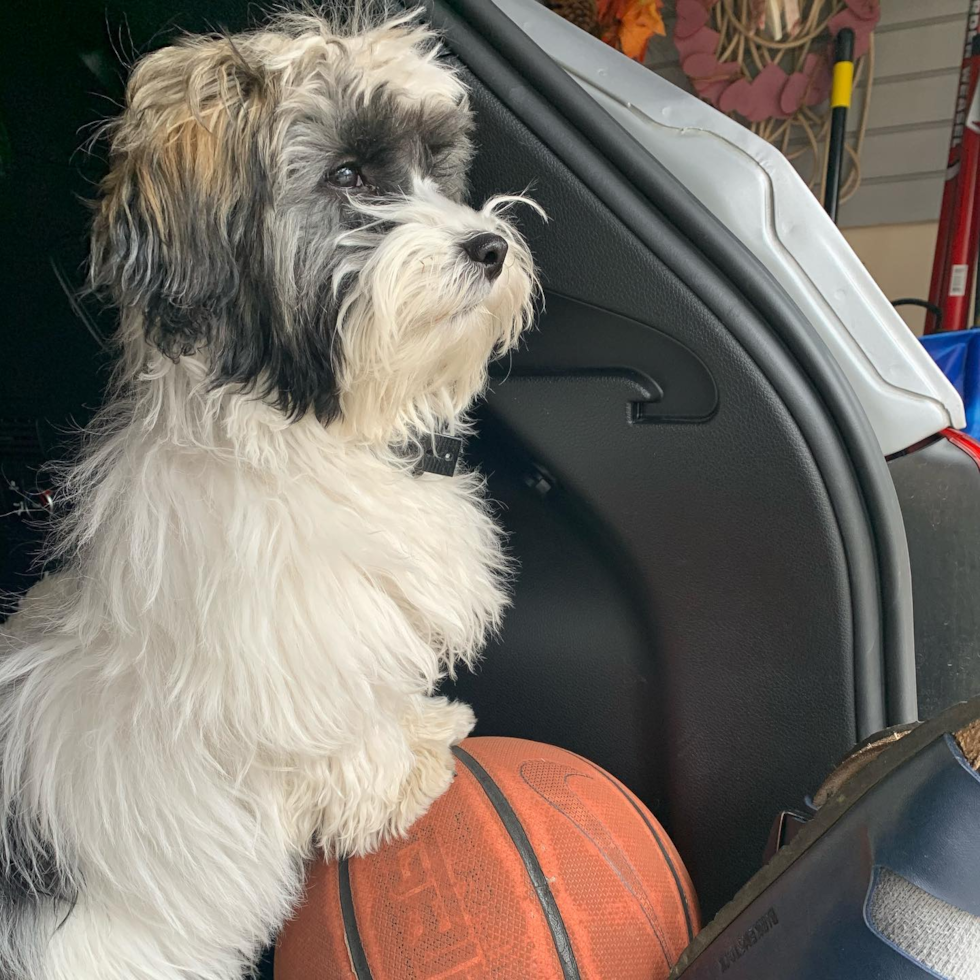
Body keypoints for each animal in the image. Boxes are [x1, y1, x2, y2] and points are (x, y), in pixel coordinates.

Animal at [0, 9, 536, 980]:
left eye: (434, 165)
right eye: (349, 177)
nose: (490, 246)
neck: (298, 441)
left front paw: (419, 726)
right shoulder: (292, 658)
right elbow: (342, 731)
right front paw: (403, 771)